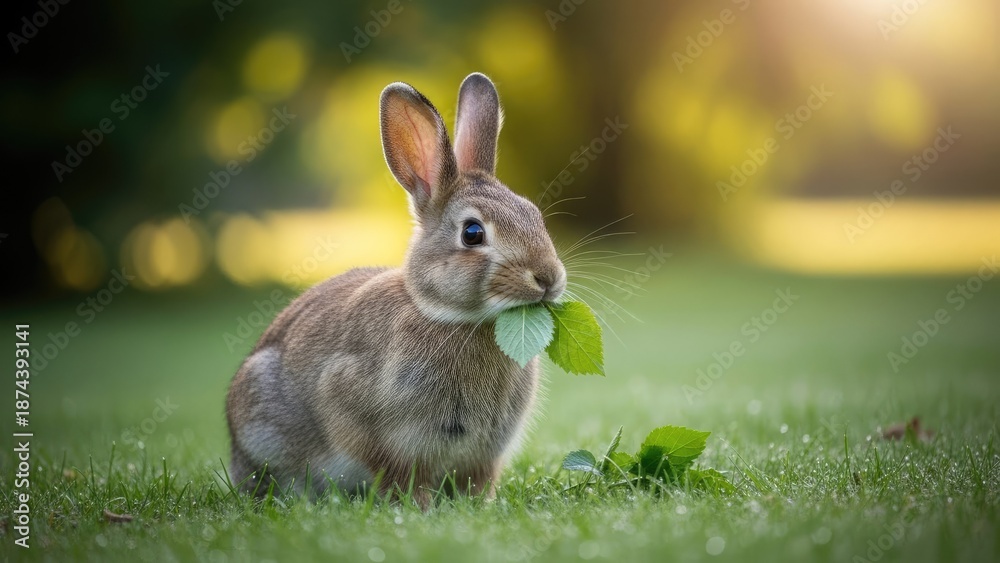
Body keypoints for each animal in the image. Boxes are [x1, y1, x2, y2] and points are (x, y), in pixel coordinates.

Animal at [225, 73, 567, 508]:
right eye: (473, 233)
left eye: (534, 215)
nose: (549, 278)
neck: (452, 317)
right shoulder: (364, 416)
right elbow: (399, 475)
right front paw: (417, 508)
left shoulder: (484, 453)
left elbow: (477, 481)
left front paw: (480, 505)